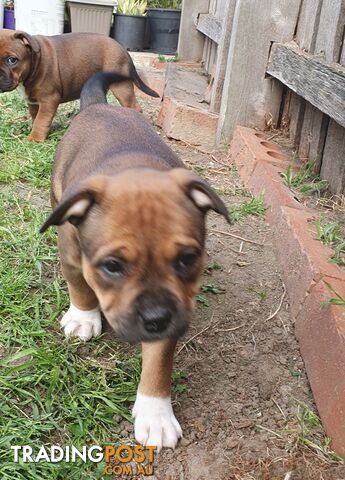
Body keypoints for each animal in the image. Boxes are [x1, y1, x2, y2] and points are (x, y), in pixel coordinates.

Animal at [0, 28, 158, 142]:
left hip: (121, 87)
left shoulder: (48, 100)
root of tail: (122, 48)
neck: (34, 62)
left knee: (134, 107)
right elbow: (36, 117)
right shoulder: (33, 102)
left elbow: (41, 120)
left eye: (12, 60)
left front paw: (35, 138)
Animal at [39, 71, 228, 450]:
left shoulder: (170, 309)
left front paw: (156, 413)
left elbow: (158, 362)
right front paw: (83, 317)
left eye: (187, 259)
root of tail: (99, 105)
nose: (155, 318)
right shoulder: (71, 254)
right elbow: (80, 287)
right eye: (112, 266)